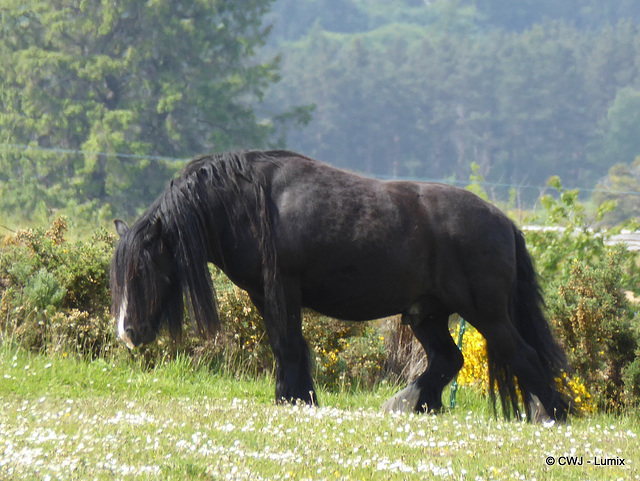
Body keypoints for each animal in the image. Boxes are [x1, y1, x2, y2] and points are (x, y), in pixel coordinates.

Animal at [111, 150, 568, 420]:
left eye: (144, 271)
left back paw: (552, 413)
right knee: (447, 360)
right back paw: (408, 403)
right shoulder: (264, 294)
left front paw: (295, 398)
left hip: (487, 314)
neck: (250, 204)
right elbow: (285, 343)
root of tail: (504, 221)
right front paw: (296, 396)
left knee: (524, 356)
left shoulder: (284, 289)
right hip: (426, 315)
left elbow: (288, 344)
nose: (127, 333)